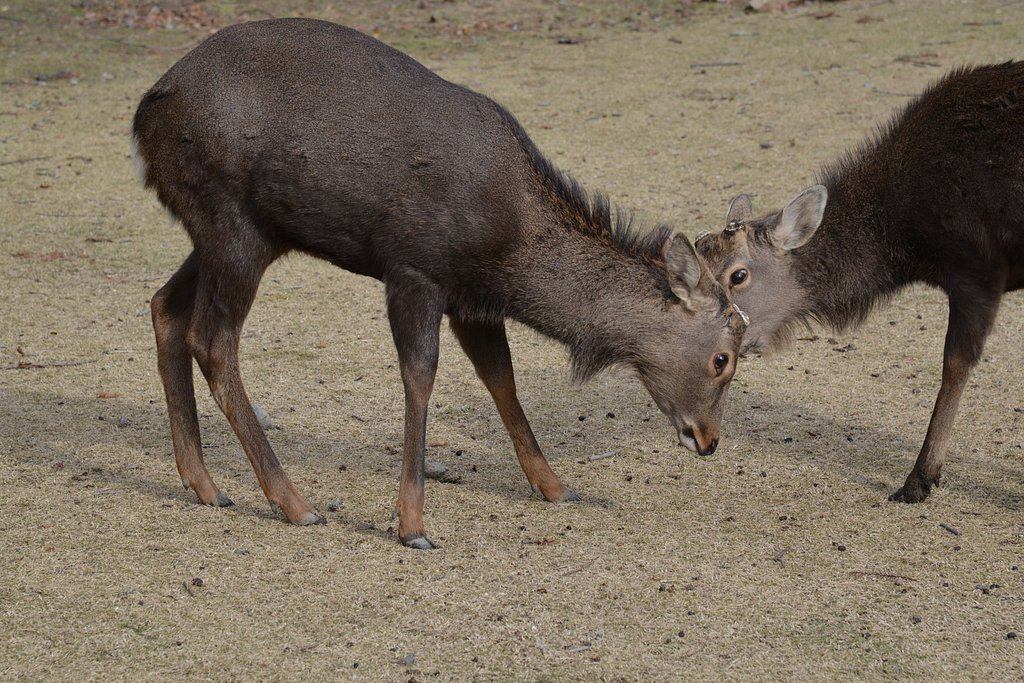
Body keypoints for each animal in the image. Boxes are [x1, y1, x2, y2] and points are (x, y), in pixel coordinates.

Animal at [132, 18, 747, 549]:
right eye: (723, 359)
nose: (709, 439)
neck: (509, 252)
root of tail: (145, 116)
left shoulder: (472, 301)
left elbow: (502, 380)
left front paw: (554, 486)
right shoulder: (415, 271)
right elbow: (420, 379)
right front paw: (412, 524)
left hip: (233, 234)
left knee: (165, 306)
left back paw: (204, 484)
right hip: (232, 224)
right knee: (213, 341)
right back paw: (294, 502)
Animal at [694, 61, 1024, 505]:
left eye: (739, 275)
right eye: (697, 250)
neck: (908, 243)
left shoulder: (977, 269)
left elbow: (955, 364)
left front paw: (919, 480)